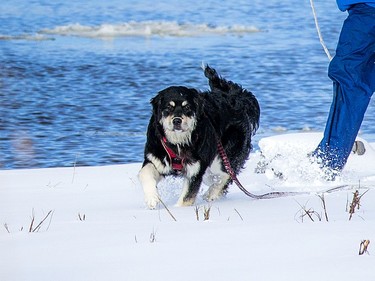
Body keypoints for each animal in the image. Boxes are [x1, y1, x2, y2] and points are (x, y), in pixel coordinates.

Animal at [140, 64, 260, 207]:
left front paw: (178, 209)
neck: (178, 143)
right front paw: (152, 198)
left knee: (227, 174)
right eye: (168, 107)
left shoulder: (195, 170)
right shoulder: (156, 158)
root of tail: (237, 98)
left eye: (187, 107)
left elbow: (186, 198)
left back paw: (212, 193)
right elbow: (144, 173)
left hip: (223, 156)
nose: (177, 121)